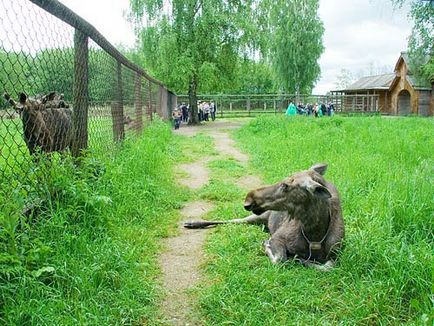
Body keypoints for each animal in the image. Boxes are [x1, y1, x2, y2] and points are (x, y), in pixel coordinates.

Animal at [185, 163, 344, 270]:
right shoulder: (277, 238)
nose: (249, 199)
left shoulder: (336, 254)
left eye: (286, 186)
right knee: (234, 220)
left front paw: (299, 258)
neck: (315, 234)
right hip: (258, 216)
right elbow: (280, 259)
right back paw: (192, 222)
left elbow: (327, 266)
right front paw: (267, 245)